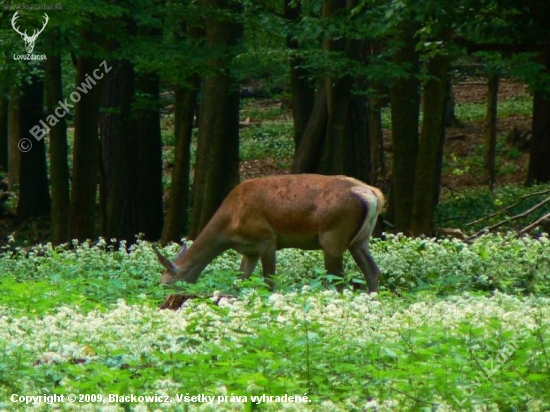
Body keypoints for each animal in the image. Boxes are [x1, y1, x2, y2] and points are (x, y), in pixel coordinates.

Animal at [153, 174, 386, 292]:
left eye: (166, 285)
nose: (163, 305)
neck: (230, 225)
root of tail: (375, 194)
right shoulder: (249, 250)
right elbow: (239, 282)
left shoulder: (266, 238)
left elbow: (269, 281)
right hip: (360, 240)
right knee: (372, 271)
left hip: (333, 236)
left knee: (338, 279)